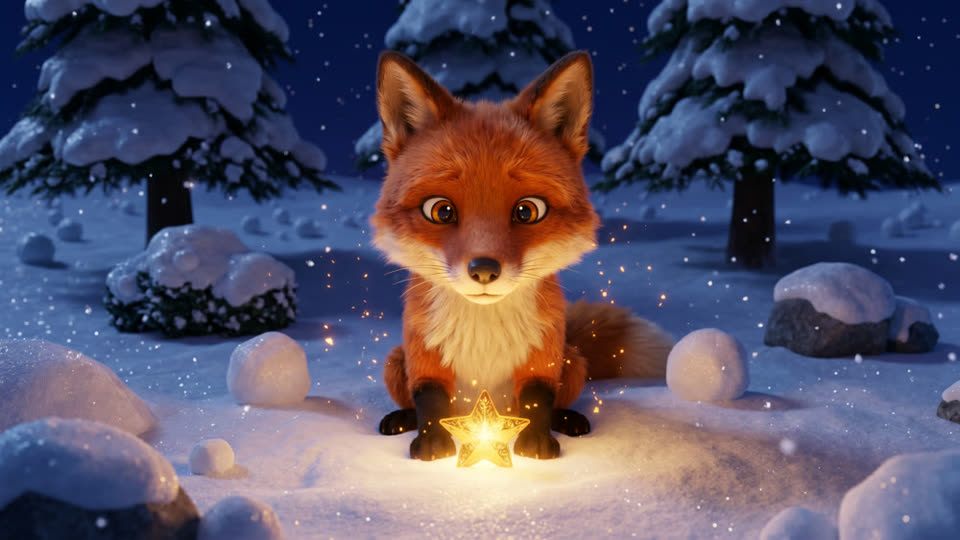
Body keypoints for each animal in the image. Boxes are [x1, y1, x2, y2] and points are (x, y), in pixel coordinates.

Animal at [370, 50, 674, 461]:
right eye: (441, 211)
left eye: (528, 211)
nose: (484, 271)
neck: (483, 330)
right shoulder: (424, 354)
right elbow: (429, 400)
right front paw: (432, 444)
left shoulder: (542, 355)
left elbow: (537, 399)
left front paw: (536, 445)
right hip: (393, 361)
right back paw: (399, 418)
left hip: (572, 360)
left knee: (558, 400)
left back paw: (569, 419)